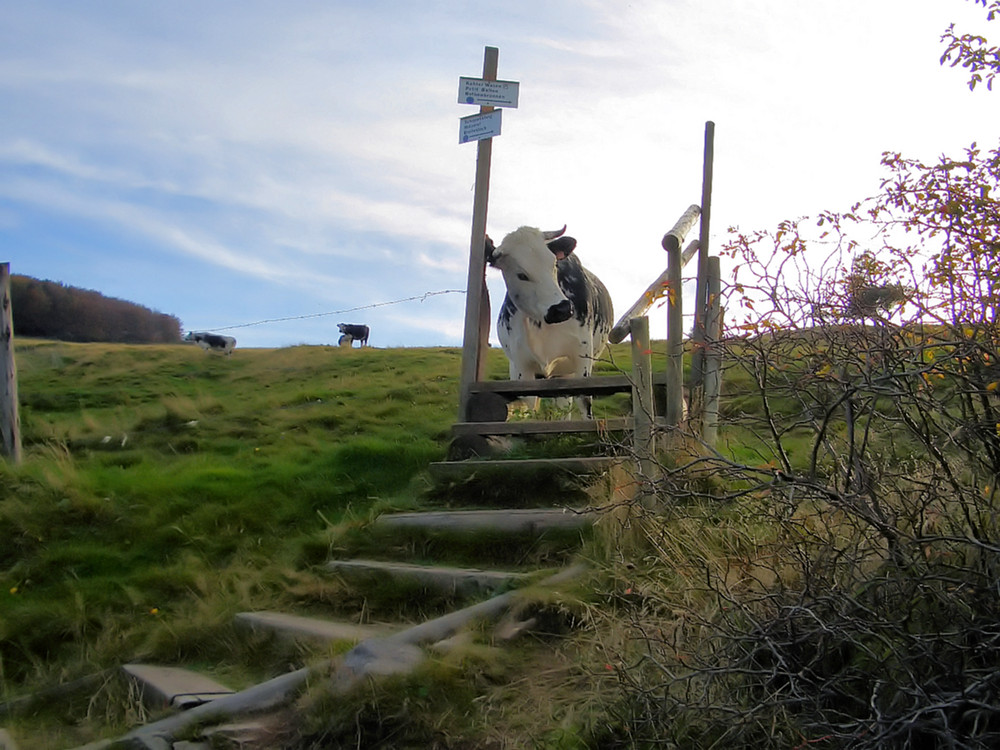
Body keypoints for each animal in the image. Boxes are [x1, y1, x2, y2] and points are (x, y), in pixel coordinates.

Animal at [482, 226, 608, 420]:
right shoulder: (522, 367)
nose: (562, 309)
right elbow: (528, 407)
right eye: (521, 275)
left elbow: (584, 403)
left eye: (554, 264)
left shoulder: (582, 356)